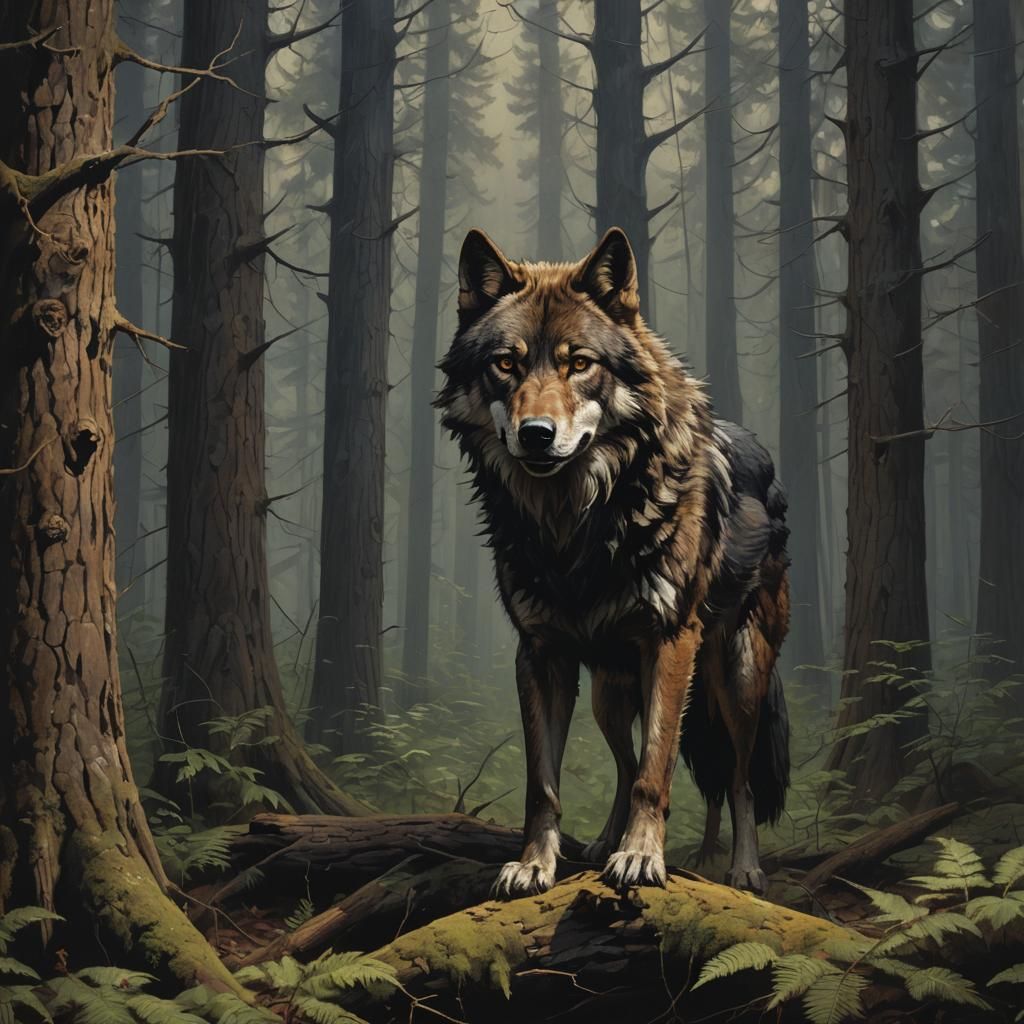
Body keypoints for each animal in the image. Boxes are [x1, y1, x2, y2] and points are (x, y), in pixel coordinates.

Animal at [436, 226, 791, 897]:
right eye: (506, 364)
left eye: (579, 363)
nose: (537, 433)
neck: (575, 528)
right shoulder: (540, 653)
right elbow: (544, 783)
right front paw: (535, 864)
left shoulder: (670, 641)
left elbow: (658, 769)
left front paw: (643, 857)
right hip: (608, 692)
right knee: (626, 764)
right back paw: (608, 841)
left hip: (736, 678)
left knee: (736, 776)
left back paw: (743, 868)